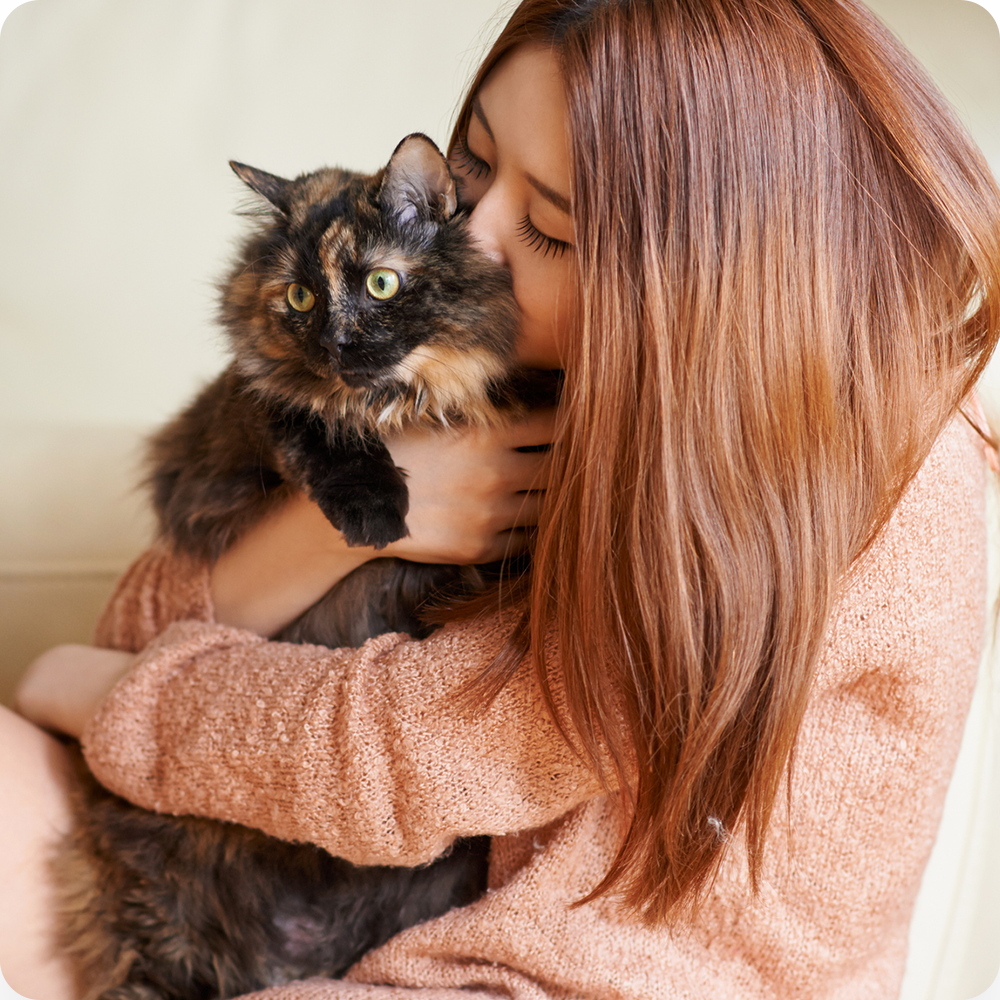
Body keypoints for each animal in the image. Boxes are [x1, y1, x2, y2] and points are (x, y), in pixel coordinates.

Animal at [54, 135, 556, 1000]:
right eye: (296, 298)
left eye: (381, 283)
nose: (337, 344)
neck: (407, 398)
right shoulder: (258, 409)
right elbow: (318, 425)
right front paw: (377, 513)